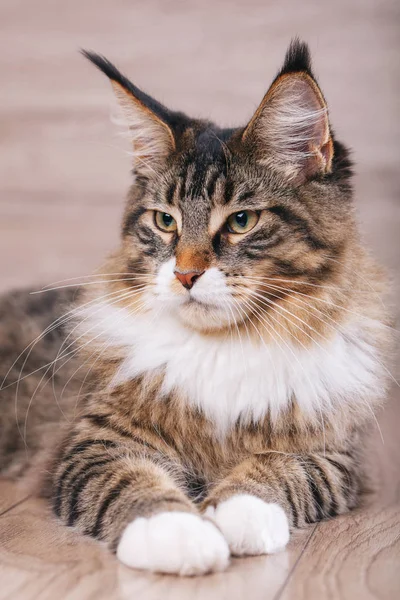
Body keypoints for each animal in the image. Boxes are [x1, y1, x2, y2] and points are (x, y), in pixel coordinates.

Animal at [0, 39, 394, 576]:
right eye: (164, 221)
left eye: (242, 221)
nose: (185, 275)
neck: (223, 346)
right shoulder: (96, 440)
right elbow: (131, 481)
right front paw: (179, 535)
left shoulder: (334, 453)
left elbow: (281, 469)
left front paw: (236, 513)